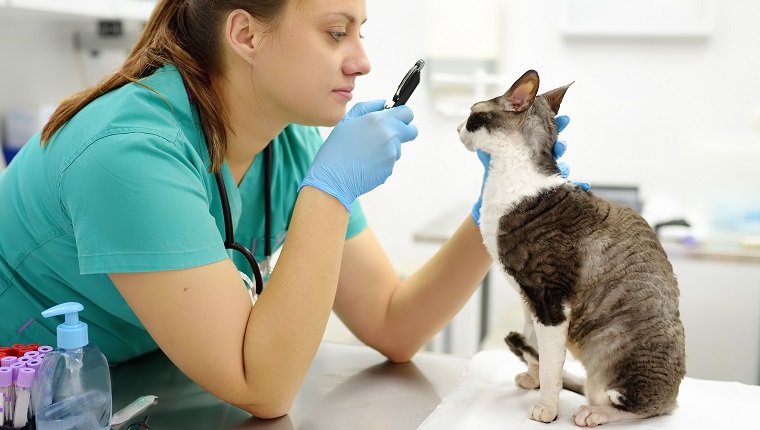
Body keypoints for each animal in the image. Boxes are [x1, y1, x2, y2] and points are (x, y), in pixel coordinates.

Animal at [458, 69, 688, 424]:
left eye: (472, 115)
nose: (457, 127)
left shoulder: (549, 298)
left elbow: (552, 362)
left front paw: (547, 408)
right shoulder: (529, 297)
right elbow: (538, 345)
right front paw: (535, 377)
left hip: (617, 349)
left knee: (642, 407)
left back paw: (594, 412)